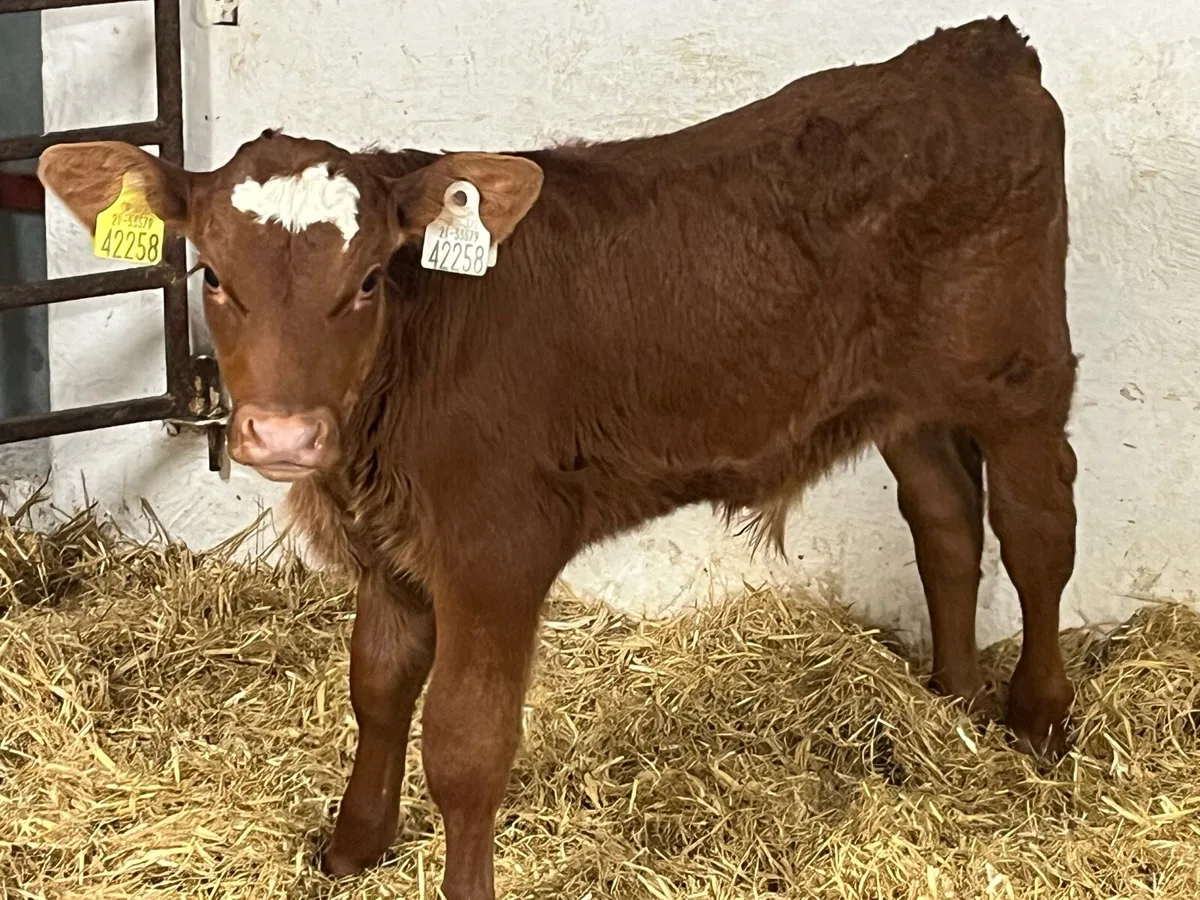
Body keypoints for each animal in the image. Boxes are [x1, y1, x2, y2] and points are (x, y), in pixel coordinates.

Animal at [38, 16, 1077, 899]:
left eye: (369, 279)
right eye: (213, 275)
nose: (286, 435)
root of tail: (976, 48)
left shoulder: (497, 548)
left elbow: (465, 744)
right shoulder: (390, 546)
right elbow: (376, 687)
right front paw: (352, 848)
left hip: (1022, 377)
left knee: (1037, 534)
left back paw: (1037, 719)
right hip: (908, 400)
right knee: (946, 518)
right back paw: (949, 701)